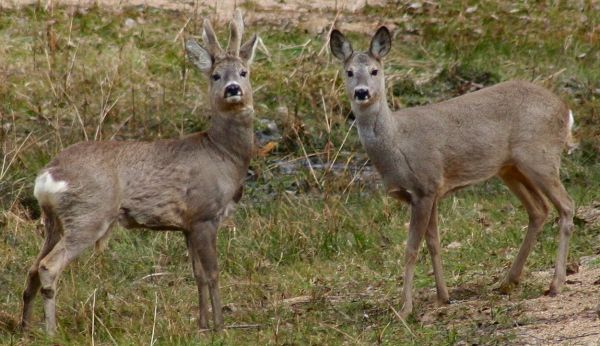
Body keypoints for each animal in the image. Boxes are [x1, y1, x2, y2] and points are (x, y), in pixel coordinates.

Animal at [18, 10, 256, 336]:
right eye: (215, 76)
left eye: (244, 72)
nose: (233, 89)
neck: (222, 154)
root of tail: (47, 175)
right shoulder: (204, 214)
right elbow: (213, 273)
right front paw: (220, 327)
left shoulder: (187, 224)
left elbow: (197, 274)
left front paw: (202, 324)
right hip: (88, 214)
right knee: (47, 267)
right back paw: (51, 332)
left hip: (54, 220)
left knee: (32, 266)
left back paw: (24, 329)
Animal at [330, 26, 576, 318]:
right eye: (349, 72)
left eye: (375, 70)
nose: (361, 92)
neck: (397, 143)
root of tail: (566, 110)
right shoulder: (431, 192)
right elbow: (433, 243)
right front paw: (442, 297)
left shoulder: (425, 186)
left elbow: (411, 249)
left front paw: (405, 308)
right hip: (510, 168)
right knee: (539, 209)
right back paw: (507, 281)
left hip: (540, 156)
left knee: (566, 205)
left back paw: (555, 284)